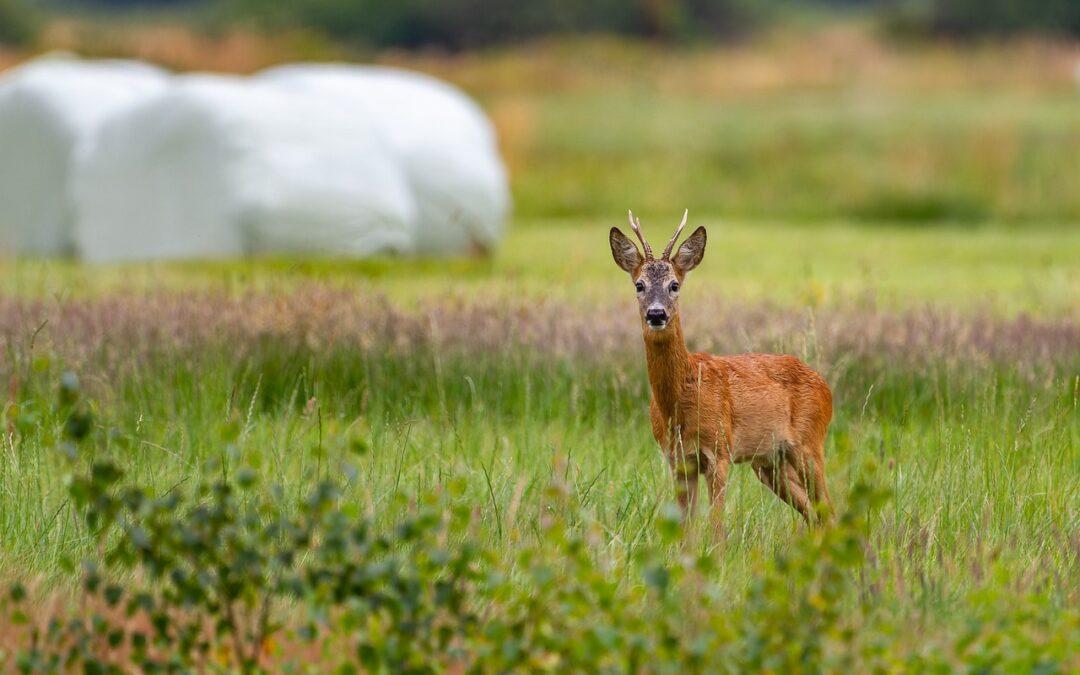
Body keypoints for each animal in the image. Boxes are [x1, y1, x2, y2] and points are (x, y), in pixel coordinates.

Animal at [609, 210, 833, 531]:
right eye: (639, 285)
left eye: (674, 285)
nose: (656, 314)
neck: (681, 400)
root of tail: (825, 386)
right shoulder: (678, 460)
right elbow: (686, 528)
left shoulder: (720, 451)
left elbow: (716, 526)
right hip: (770, 462)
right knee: (814, 513)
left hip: (810, 443)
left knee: (829, 507)